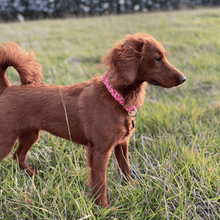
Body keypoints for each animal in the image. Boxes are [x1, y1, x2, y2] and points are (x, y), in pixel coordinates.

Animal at [0, 33, 186, 207]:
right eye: (157, 58)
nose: (183, 79)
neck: (116, 98)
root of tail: (8, 89)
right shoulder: (100, 151)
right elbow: (100, 182)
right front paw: (103, 207)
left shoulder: (122, 144)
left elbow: (125, 168)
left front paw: (133, 186)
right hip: (6, 141)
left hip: (31, 134)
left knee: (18, 156)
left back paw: (33, 175)